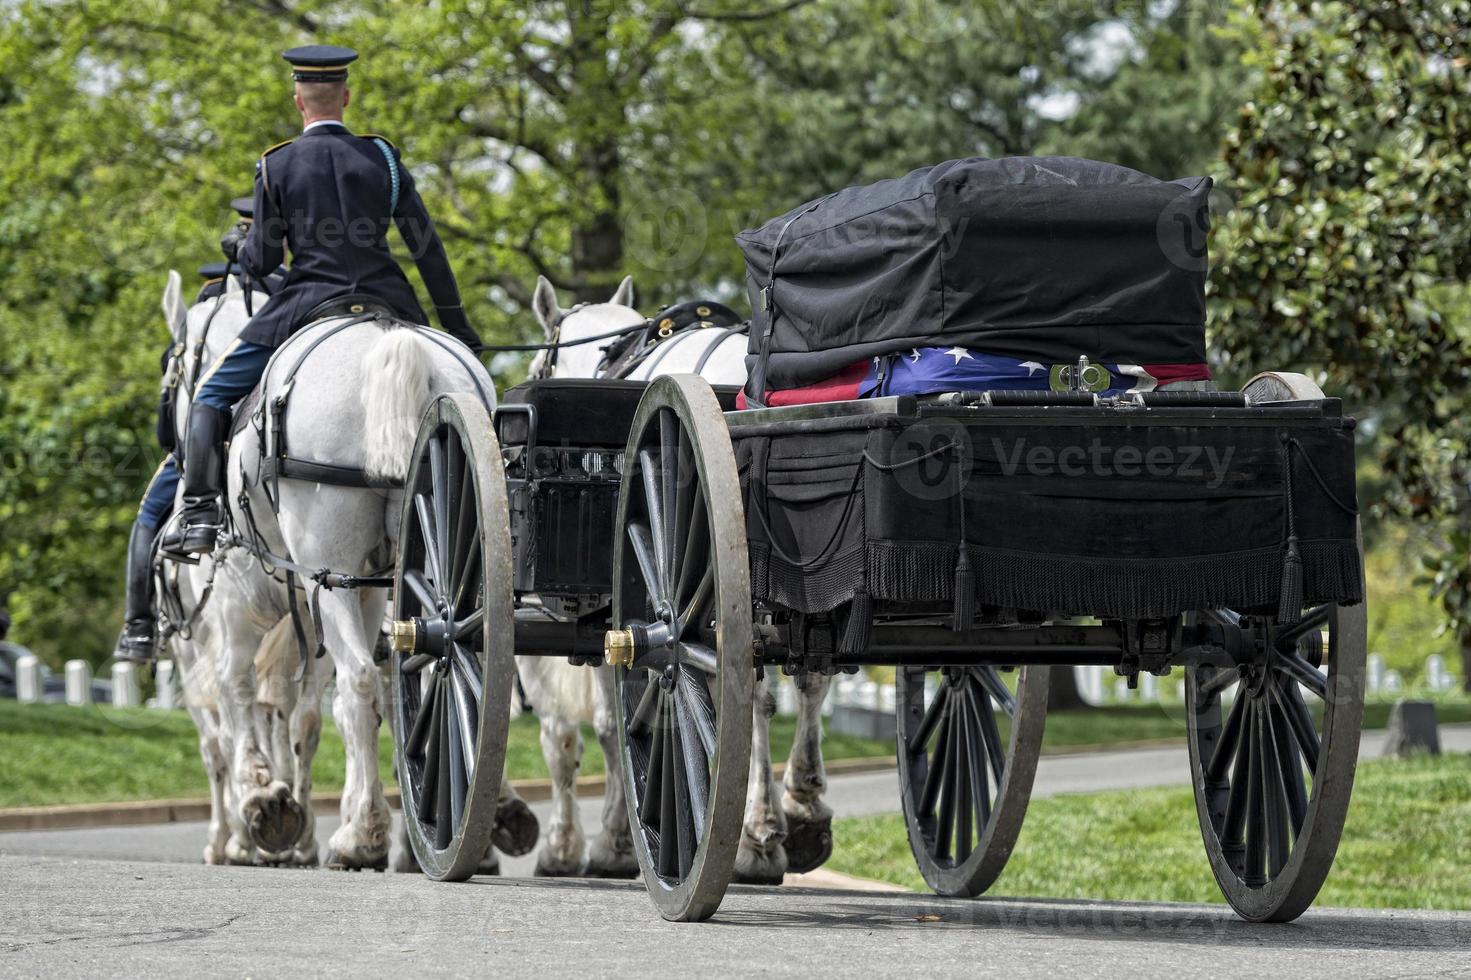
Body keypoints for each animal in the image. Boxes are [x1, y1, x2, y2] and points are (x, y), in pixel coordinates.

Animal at [523, 272, 835, 876]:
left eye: (541, 362)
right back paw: (800, 808)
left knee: (755, 693)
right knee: (808, 679)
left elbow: (613, 720)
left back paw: (758, 831)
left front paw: (614, 839)